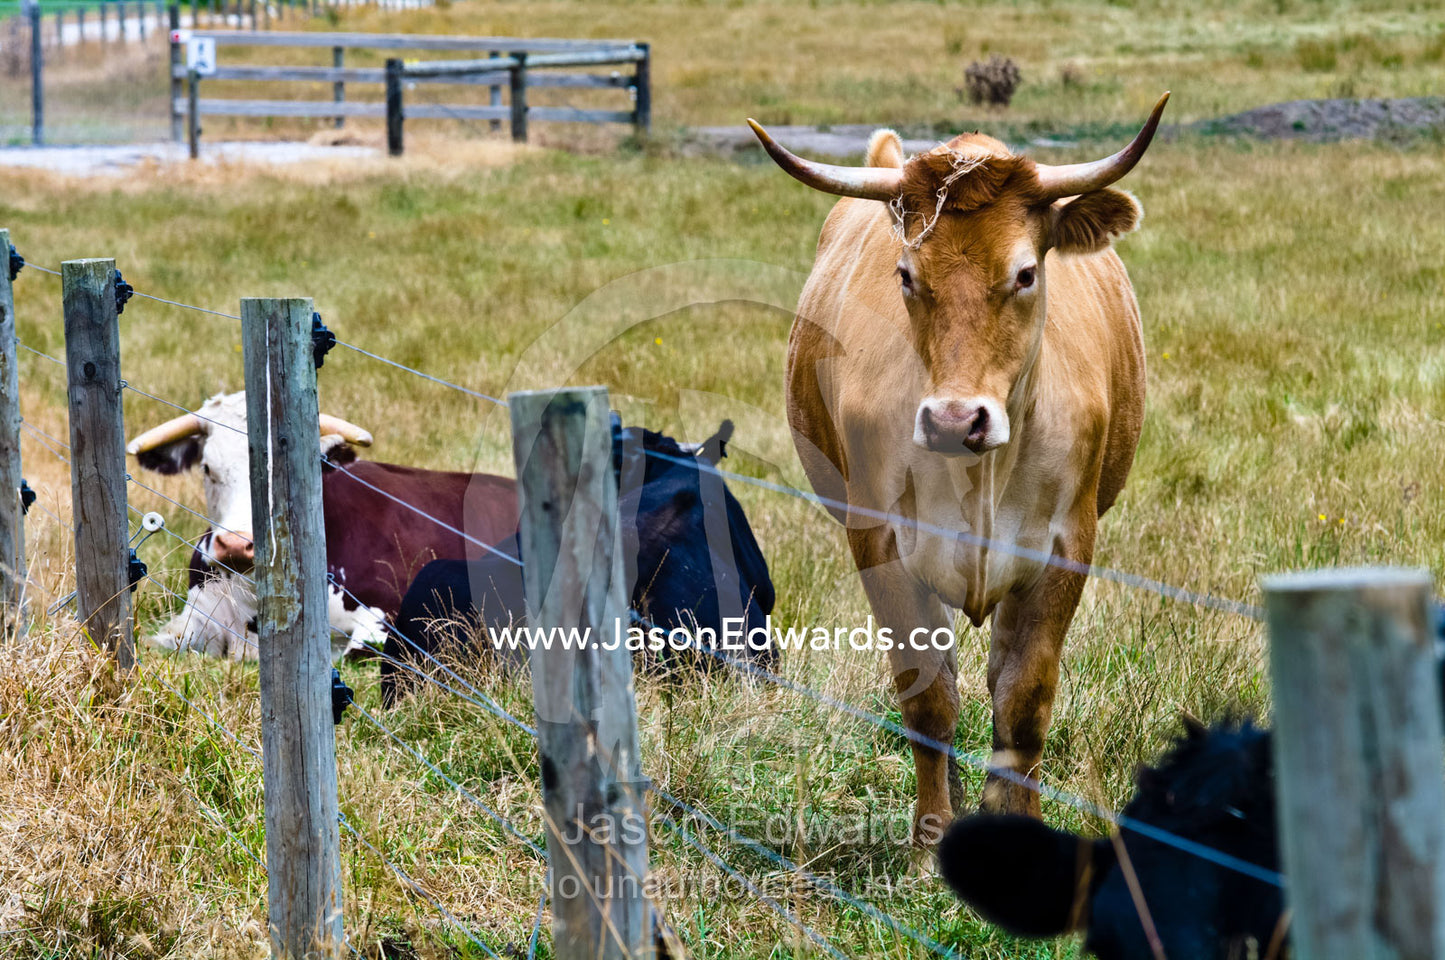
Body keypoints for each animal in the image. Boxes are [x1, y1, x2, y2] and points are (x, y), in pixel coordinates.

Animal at [749, 92, 1170, 848]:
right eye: (907, 275)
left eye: (1026, 273)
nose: (953, 421)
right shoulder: (879, 542)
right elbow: (929, 701)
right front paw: (930, 843)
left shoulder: (1065, 547)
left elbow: (1022, 703)